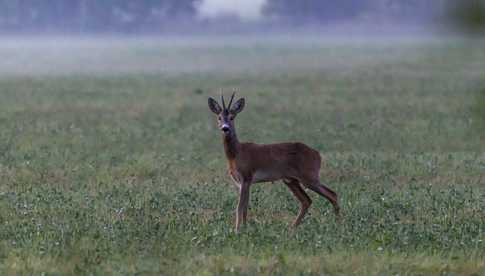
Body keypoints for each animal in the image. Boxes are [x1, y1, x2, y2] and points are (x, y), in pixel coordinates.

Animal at [208, 91, 340, 232]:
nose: (225, 128)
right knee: (307, 200)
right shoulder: (242, 182)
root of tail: (318, 155)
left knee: (332, 194)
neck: (236, 153)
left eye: (232, 117)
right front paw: (244, 228)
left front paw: (237, 230)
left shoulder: (246, 177)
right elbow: (245, 207)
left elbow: (239, 207)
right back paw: (292, 227)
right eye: (219, 117)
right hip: (291, 180)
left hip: (309, 177)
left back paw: (338, 224)